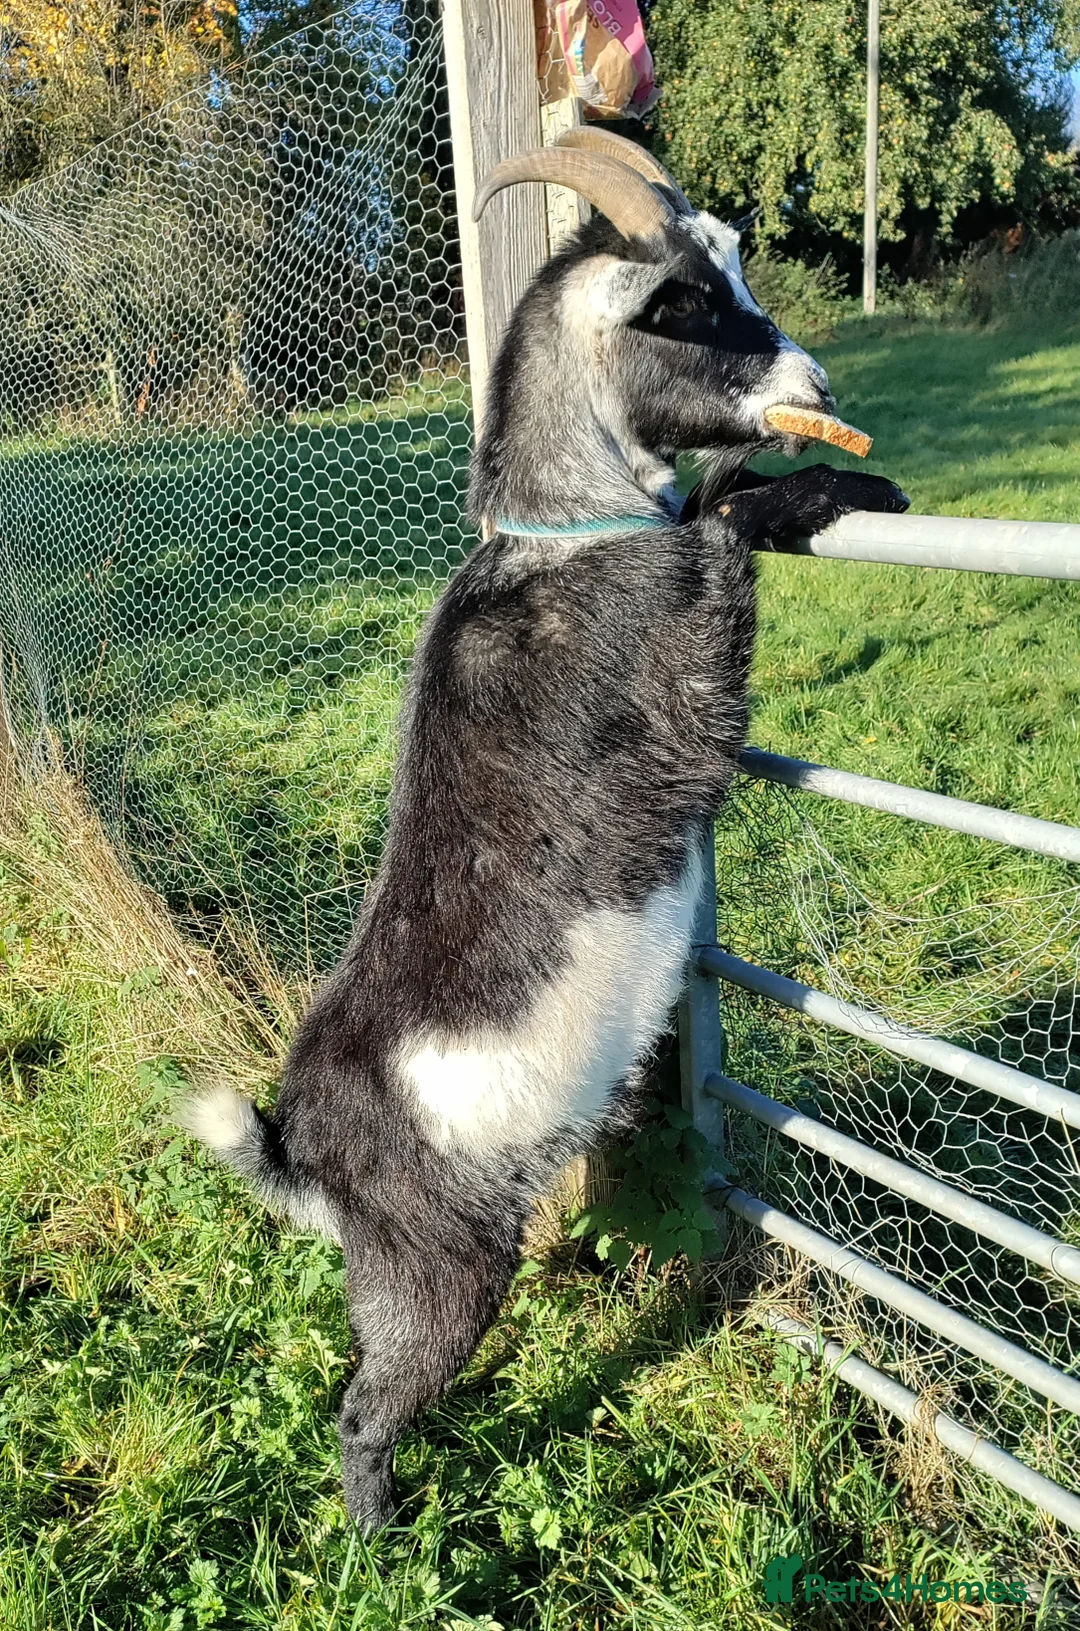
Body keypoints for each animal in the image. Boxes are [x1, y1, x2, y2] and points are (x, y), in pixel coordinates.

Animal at [185, 129, 909, 1530]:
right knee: (362, 1411)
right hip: (439, 1271)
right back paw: (386, 1536)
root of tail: (306, 1158)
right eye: (678, 301)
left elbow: (718, 486)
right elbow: (725, 518)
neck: (572, 533)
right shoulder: (687, 664)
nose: (817, 380)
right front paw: (845, 481)